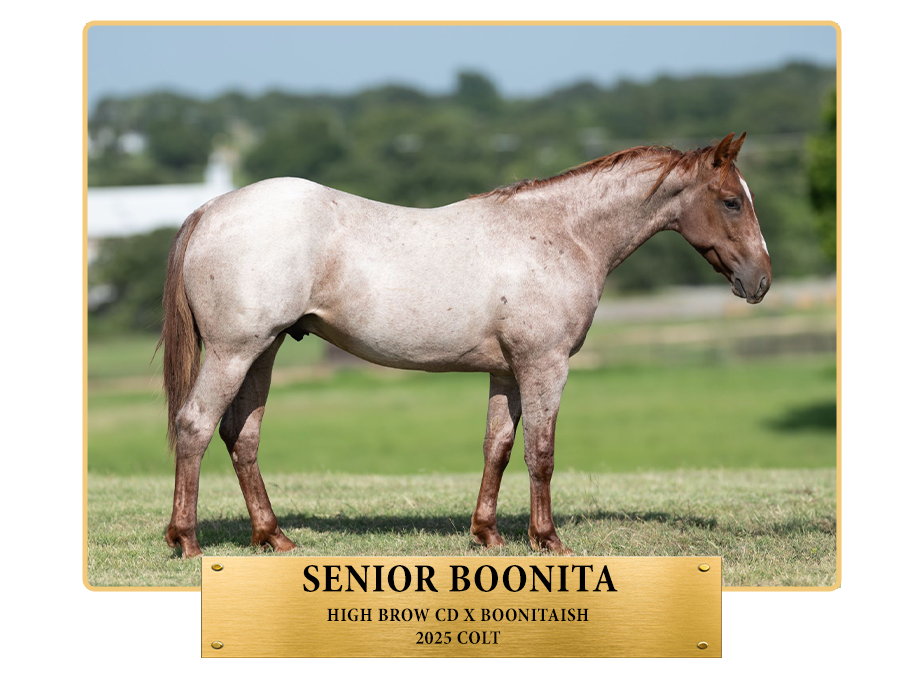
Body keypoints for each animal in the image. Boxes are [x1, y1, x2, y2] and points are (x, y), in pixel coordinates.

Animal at [159, 132, 770, 558]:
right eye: (731, 201)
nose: (760, 281)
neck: (561, 233)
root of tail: (210, 209)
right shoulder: (544, 366)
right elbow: (541, 453)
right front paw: (548, 540)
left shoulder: (507, 372)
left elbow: (497, 446)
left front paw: (487, 534)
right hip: (235, 351)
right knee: (195, 425)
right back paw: (186, 540)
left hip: (262, 352)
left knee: (241, 435)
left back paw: (274, 536)